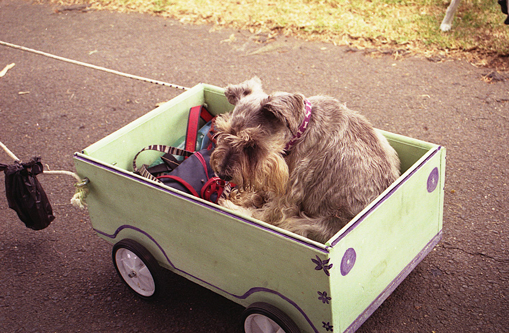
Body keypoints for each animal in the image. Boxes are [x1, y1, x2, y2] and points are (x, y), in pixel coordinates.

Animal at [210, 78, 400, 244]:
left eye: (251, 144)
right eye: (223, 131)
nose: (223, 174)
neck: (301, 130)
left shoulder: (286, 197)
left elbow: (264, 216)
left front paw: (238, 205)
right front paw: (244, 197)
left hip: (309, 224)